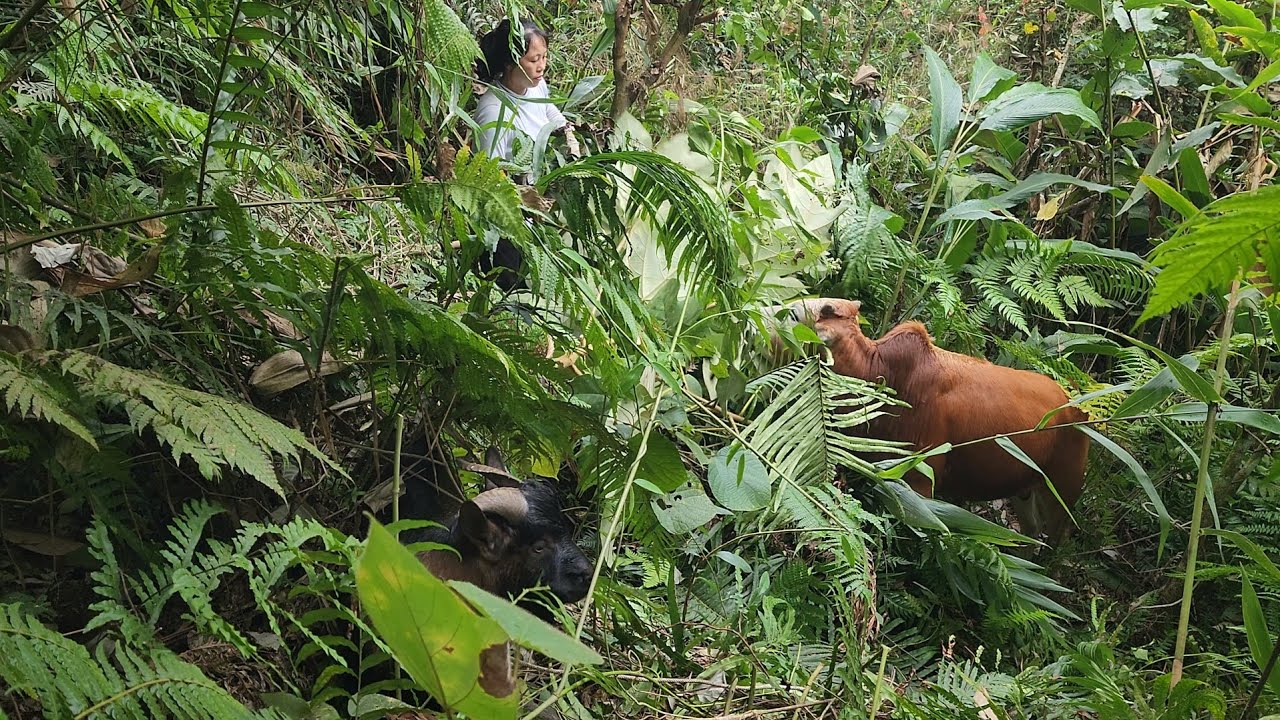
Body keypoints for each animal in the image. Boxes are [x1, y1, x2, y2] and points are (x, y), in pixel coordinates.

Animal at [785, 298, 1090, 544]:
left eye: (796, 315)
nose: (783, 309)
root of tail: (1077, 400)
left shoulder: (921, 479)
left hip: (1065, 485)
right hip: (1025, 484)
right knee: (1032, 531)